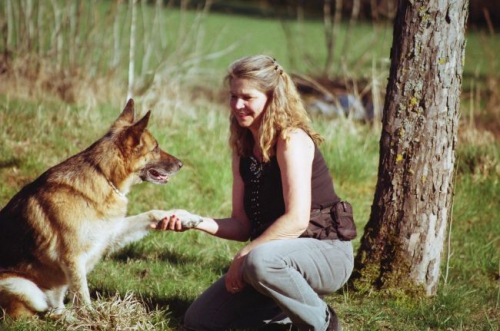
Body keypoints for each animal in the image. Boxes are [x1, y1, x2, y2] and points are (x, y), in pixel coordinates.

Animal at [0, 100, 199, 320]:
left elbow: (152, 213)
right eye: (155, 147)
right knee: (42, 313)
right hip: (23, 286)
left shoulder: (110, 234)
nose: (181, 164)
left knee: (55, 308)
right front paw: (95, 319)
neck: (104, 177)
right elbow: (84, 297)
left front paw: (187, 217)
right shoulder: (72, 259)